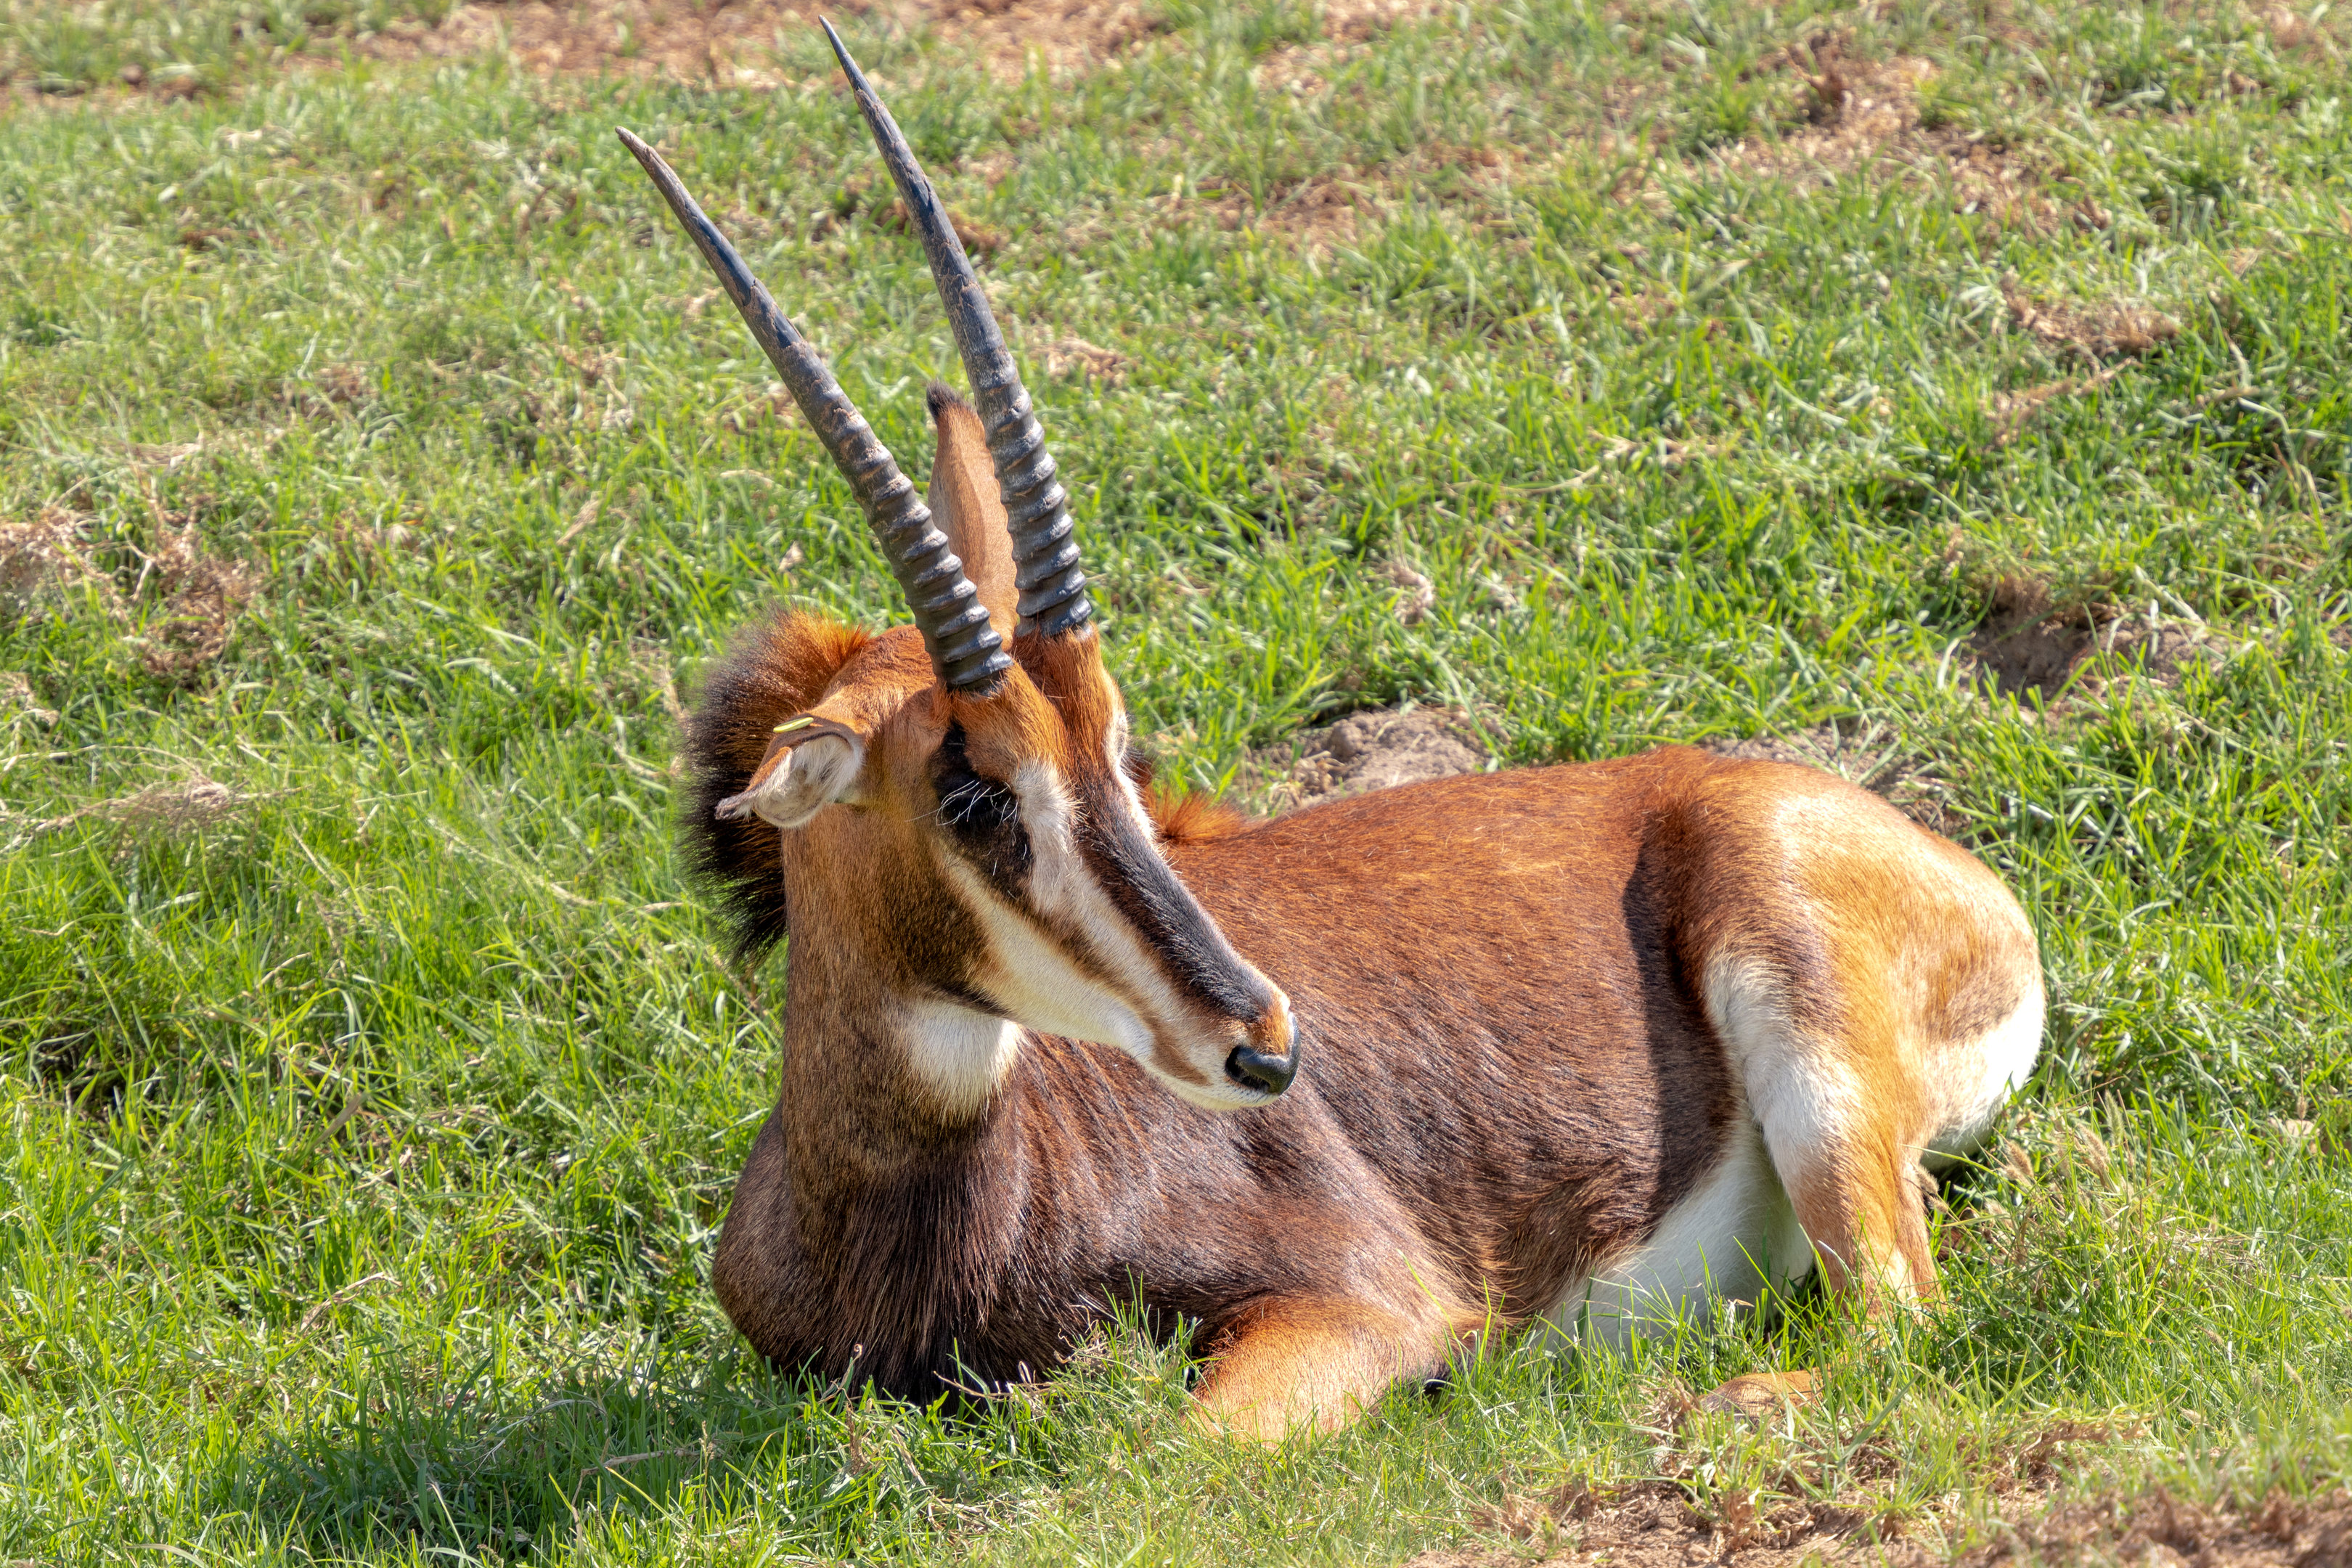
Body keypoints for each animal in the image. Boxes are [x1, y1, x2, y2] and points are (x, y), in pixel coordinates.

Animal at [616, 27, 2045, 1442]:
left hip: (1812, 1053)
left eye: (1116, 748)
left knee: (1896, 1322)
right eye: (974, 796)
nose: (1265, 1046)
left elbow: (1193, 1446)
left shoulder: (1367, 1308)